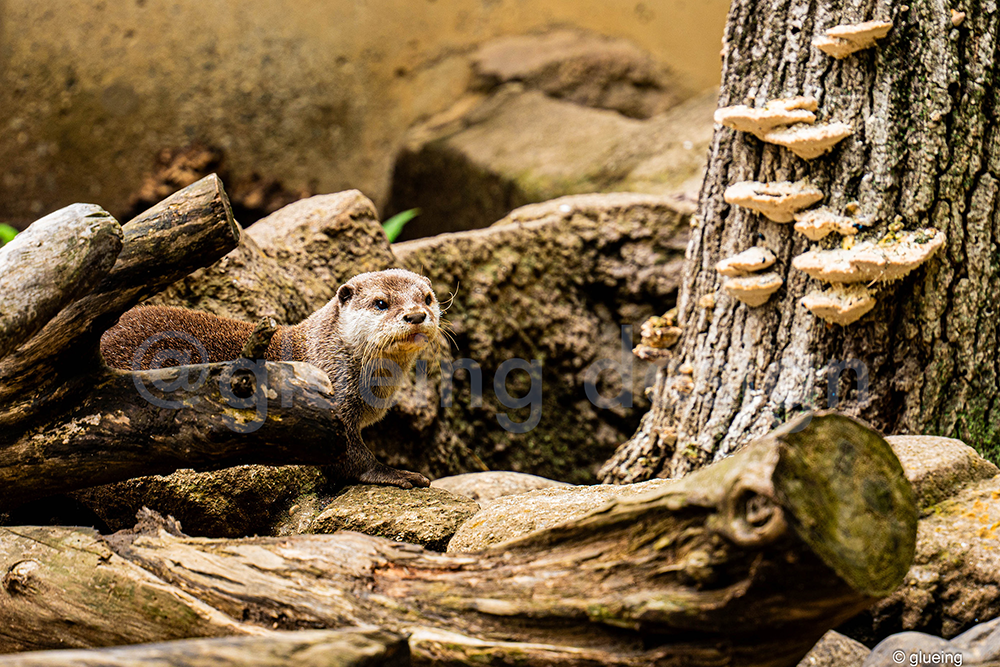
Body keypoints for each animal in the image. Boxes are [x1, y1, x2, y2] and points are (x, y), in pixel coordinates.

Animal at [100, 268, 438, 490]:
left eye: (427, 298)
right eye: (381, 303)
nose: (416, 314)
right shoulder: (333, 409)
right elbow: (352, 459)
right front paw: (399, 474)